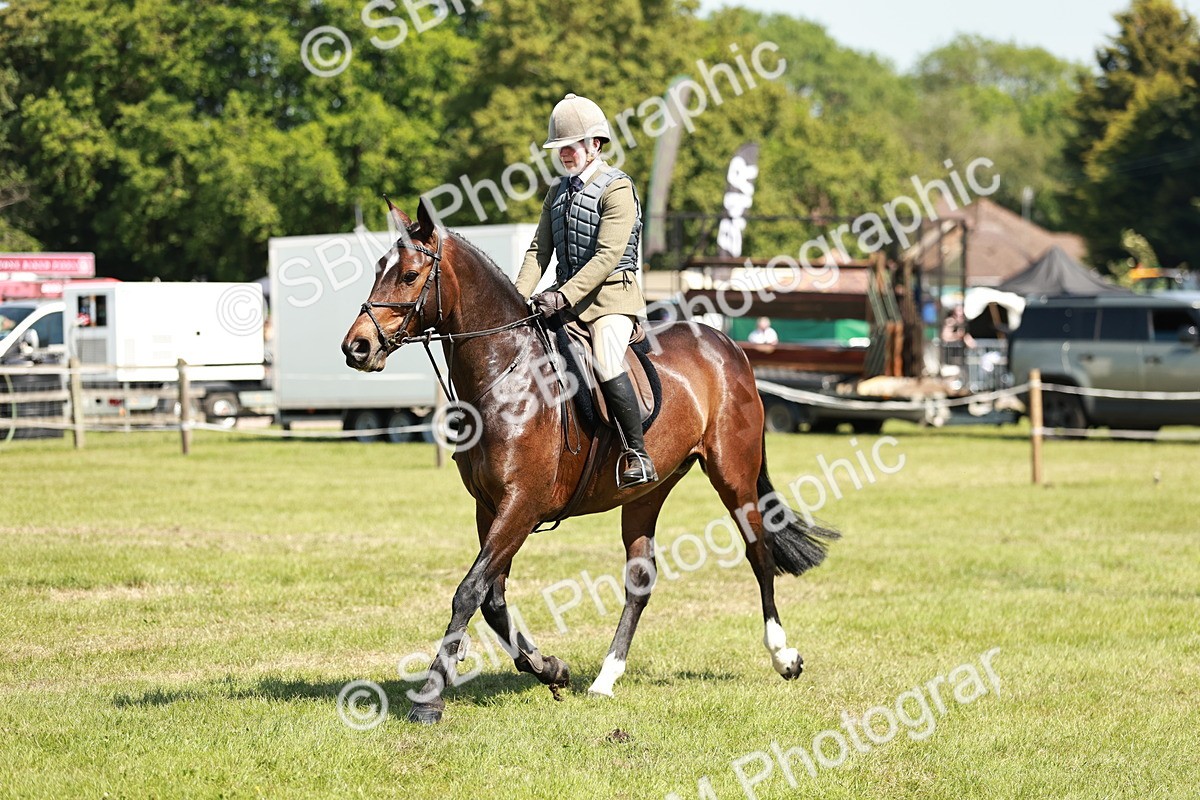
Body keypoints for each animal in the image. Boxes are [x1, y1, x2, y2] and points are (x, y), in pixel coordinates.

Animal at [341, 199, 839, 724]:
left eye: (410, 275)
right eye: (378, 270)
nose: (357, 347)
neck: (505, 374)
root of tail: (727, 347)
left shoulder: (522, 505)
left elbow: (469, 592)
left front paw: (430, 699)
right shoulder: (490, 506)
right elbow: (493, 599)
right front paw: (551, 669)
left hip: (734, 475)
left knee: (759, 553)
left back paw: (784, 657)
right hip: (647, 491)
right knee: (640, 579)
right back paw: (605, 678)